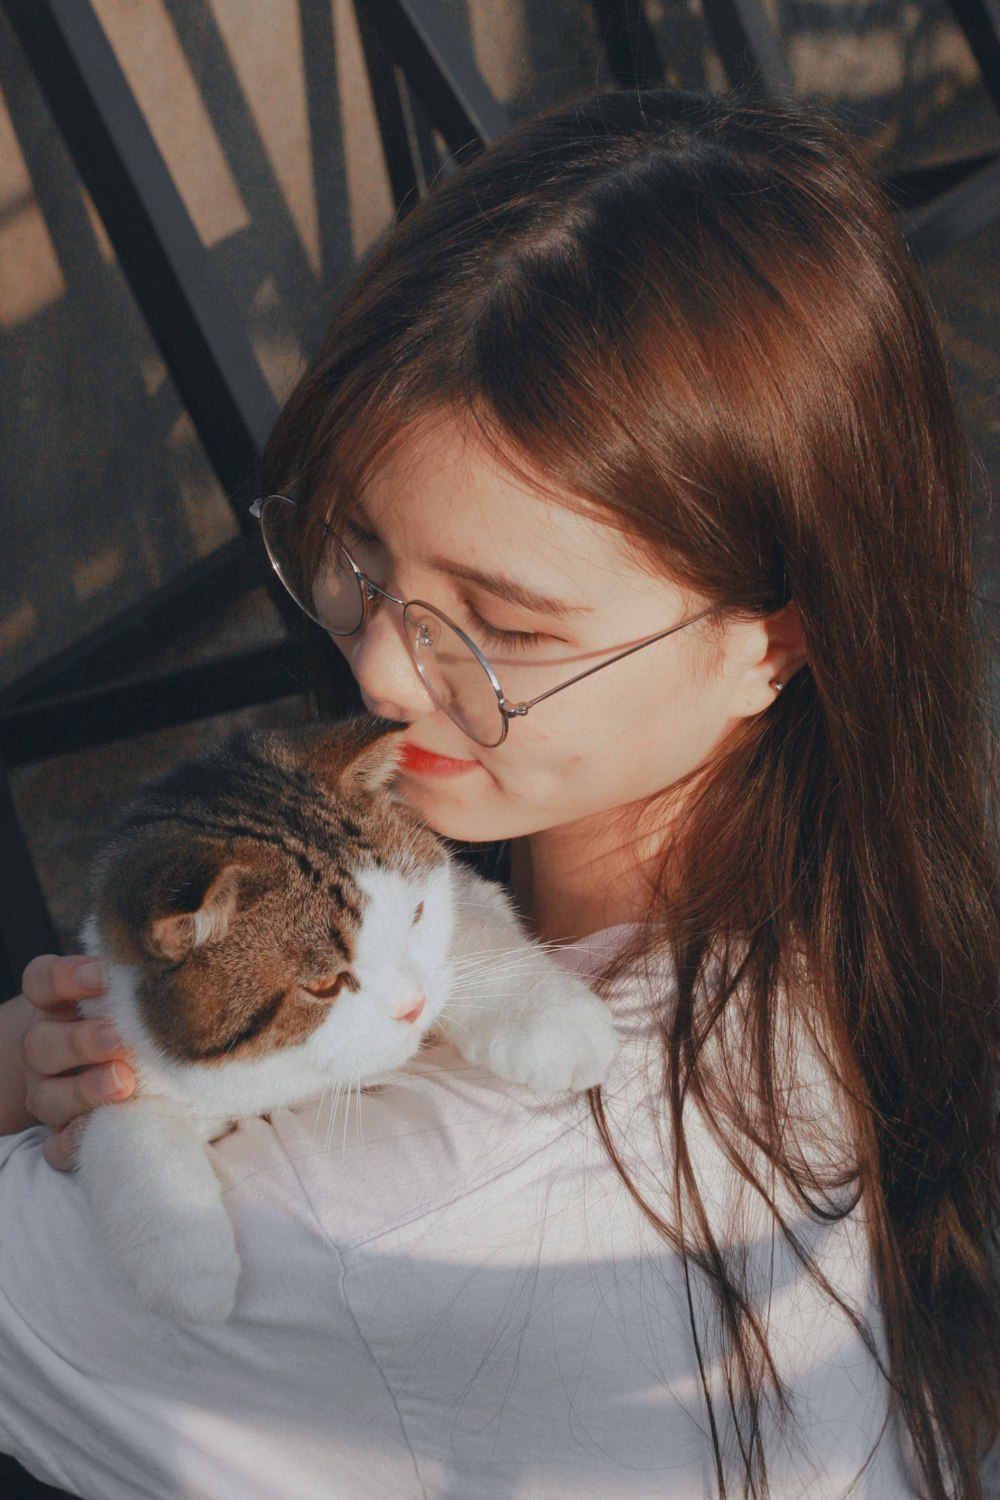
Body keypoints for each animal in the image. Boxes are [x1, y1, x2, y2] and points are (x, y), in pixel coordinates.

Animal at [76, 717, 617, 1326]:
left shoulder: (466, 889)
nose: (412, 1008)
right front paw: (187, 1266)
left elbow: (474, 936)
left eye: (416, 915)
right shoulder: (118, 1033)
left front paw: (551, 1018)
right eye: (322, 986)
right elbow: (123, 1126)